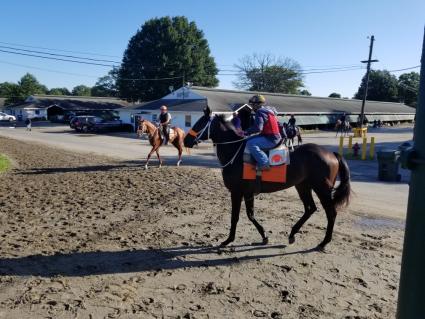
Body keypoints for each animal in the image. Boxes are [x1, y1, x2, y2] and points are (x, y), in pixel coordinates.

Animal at [184, 107, 350, 252]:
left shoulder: (237, 192)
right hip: (303, 186)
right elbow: (250, 215)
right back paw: (292, 234)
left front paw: (228, 240)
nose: (186, 140)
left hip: (322, 189)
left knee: (331, 213)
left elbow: (235, 217)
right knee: (310, 208)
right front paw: (264, 236)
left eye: (200, 122)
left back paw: (324, 242)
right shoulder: (247, 193)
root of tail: (331, 154)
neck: (235, 153)